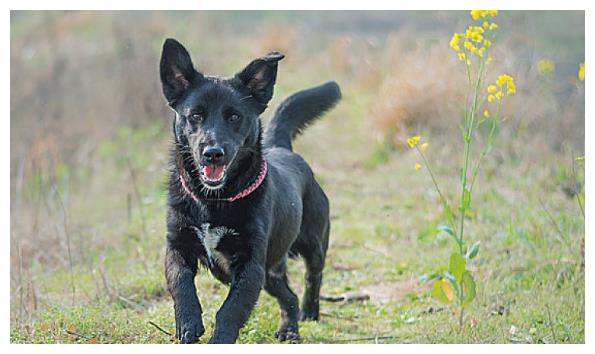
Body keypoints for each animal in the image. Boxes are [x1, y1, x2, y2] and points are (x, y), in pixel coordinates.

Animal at [161, 38, 342, 342]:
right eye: (195, 115)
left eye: (234, 117)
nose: (213, 153)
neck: (214, 200)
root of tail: (281, 147)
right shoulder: (178, 247)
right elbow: (181, 284)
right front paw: (188, 324)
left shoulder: (250, 266)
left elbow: (231, 310)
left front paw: (219, 339)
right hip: (270, 272)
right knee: (288, 296)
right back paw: (289, 328)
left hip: (312, 245)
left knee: (312, 277)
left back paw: (309, 312)